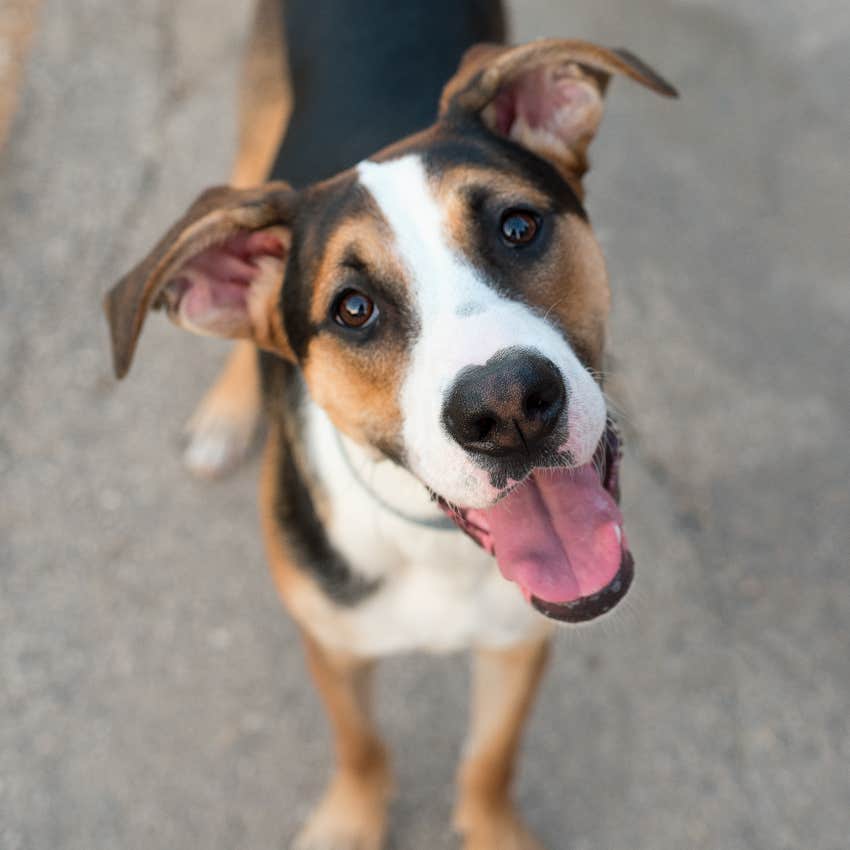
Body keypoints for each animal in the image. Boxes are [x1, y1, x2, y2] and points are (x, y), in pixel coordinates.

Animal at [102, 3, 672, 844]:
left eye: (518, 226)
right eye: (353, 309)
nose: (506, 407)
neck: (432, 543)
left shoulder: (520, 641)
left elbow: (491, 758)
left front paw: (492, 826)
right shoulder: (332, 643)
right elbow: (362, 745)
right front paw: (349, 822)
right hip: (253, 144)